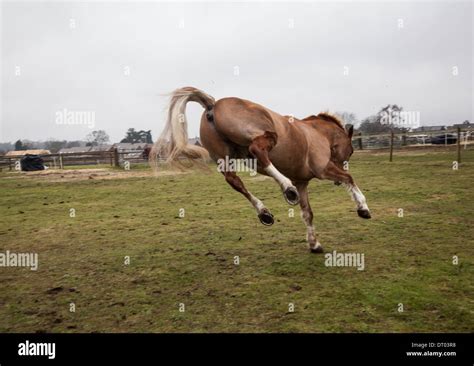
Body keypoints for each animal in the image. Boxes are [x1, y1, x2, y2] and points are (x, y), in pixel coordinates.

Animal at [152, 86, 370, 252]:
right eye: (351, 151)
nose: (336, 184)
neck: (317, 134)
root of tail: (212, 104)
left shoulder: (302, 183)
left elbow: (307, 213)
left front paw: (314, 244)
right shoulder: (322, 169)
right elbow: (349, 178)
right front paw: (363, 209)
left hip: (226, 159)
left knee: (234, 180)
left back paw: (265, 212)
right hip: (265, 137)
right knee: (258, 151)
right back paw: (287, 190)